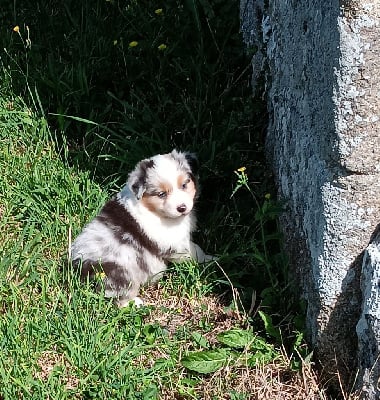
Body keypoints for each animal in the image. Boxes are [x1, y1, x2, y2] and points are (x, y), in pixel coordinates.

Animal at [71, 150, 211, 306]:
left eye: (184, 185)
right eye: (161, 194)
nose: (182, 208)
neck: (151, 209)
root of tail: (78, 266)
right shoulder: (175, 243)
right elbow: (196, 252)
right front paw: (212, 260)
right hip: (122, 273)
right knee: (118, 298)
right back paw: (136, 304)